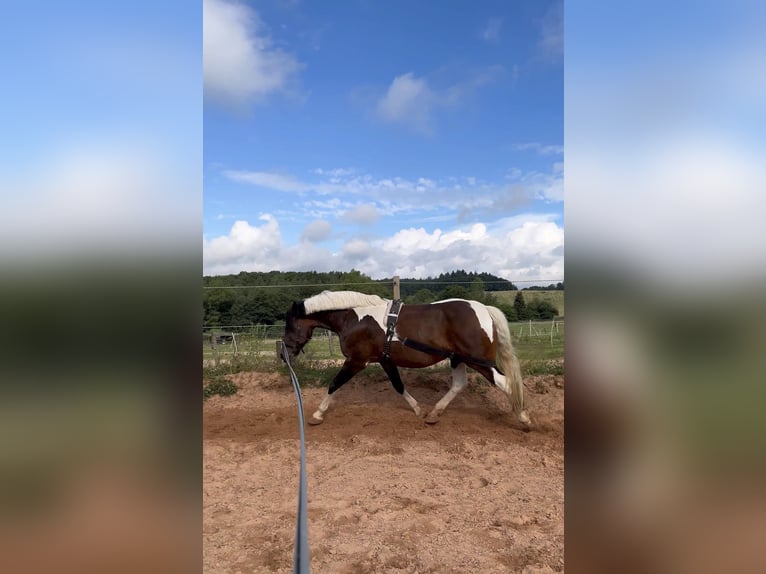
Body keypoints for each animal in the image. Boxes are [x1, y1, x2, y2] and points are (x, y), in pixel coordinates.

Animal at [284, 290, 536, 430]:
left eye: (290, 324)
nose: (284, 352)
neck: (354, 317)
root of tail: (483, 308)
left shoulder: (356, 361)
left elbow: (334, 384)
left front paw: (317, 414)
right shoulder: (384, 360)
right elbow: (398, 385)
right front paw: (418, 410)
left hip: (478, 361)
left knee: (505, 383)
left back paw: (523, 418)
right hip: (459, 359)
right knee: (459, 384)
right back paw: (434, 414)